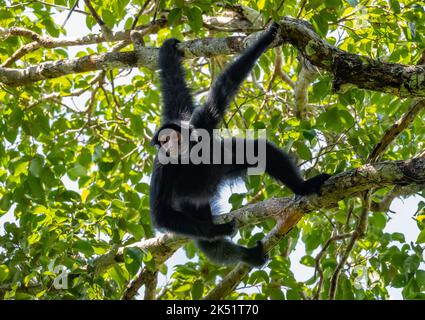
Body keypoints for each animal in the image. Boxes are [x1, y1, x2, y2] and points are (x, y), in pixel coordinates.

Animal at [149, 23, 332, 268]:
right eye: (161, 142)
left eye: (168, 138)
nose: (165, 145)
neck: (186, 155)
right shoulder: (162, 166)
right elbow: (161, 215)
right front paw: (217, 230)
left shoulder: (201, 126)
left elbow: (226, 85)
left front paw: (268, 37)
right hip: (191, 204)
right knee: (209, 244)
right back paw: (247, 255)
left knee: (260, 152)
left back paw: (302, 188)